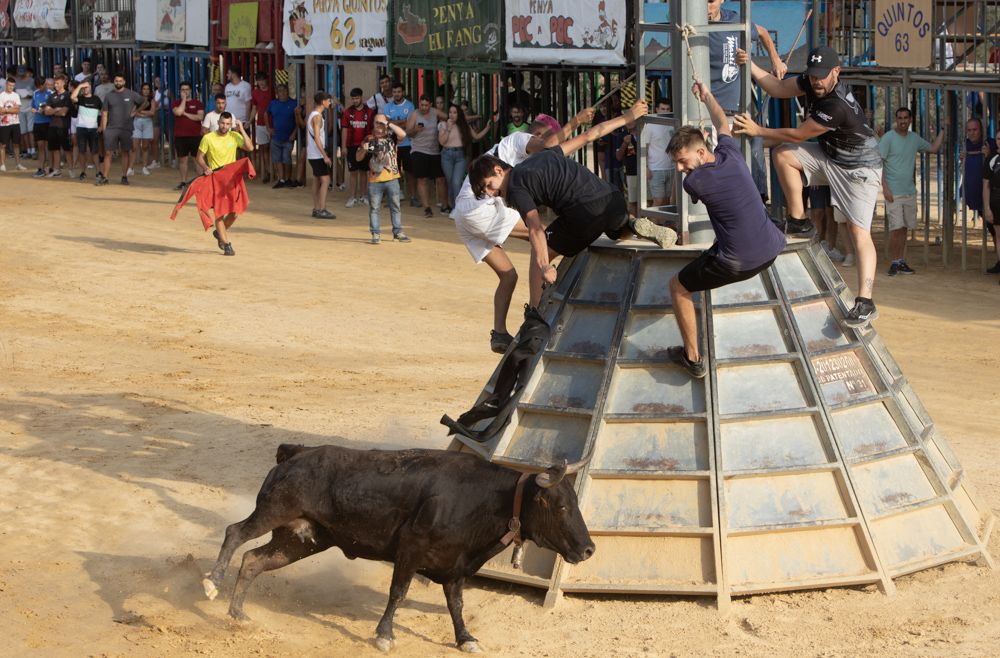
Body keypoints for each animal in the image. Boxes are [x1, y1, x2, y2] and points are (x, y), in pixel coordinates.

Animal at [203, 444, 592, 648]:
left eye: (576, 503)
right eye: (560, 507)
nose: (589, 550)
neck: (484, 499)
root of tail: (294, 453)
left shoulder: (454, 566)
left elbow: (456, 605)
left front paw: (466, 638)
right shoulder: (410, 550)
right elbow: (398, 593)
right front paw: (384, 635)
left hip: (298, 540)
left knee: (253, 560)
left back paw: (238, 613)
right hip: (273, 510)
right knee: (235, 533)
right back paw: (212, 583)